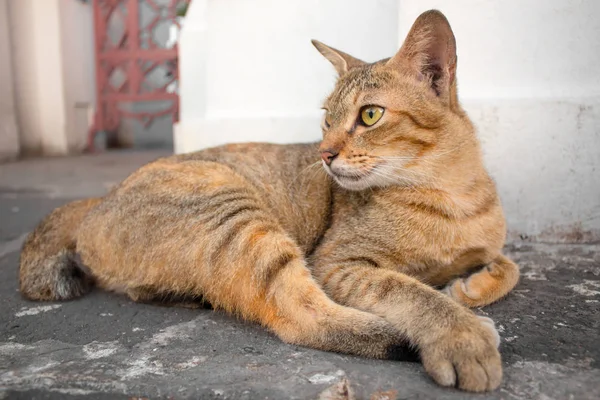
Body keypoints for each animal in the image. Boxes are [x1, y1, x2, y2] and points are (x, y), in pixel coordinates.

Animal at [17, 10, 516, 394]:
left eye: (370, 115)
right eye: (327, 118)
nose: (324, 154)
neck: (451, 195)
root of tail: (99, 199)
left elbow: (507, 265)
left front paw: (470, 286)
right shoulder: (337, 263)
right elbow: (410, 291)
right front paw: (460, 331)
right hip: (240, 217)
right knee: (299, 316)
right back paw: (411, 338)